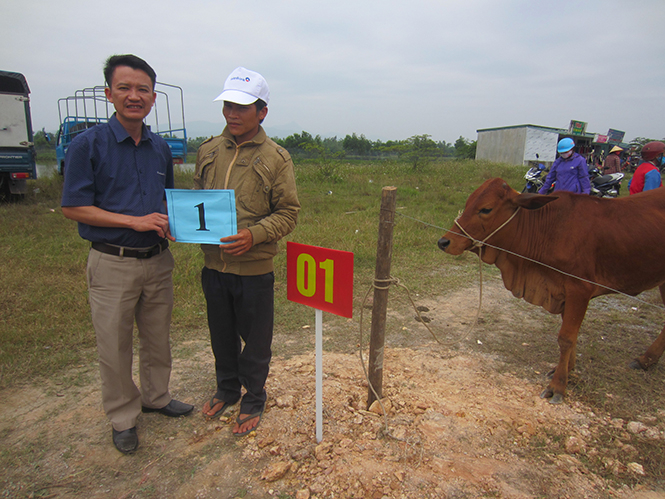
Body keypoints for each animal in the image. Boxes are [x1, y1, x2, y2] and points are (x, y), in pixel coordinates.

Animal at [436, 178, 664, 404]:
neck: (549, 230)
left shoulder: (579, 290)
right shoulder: (564, 292)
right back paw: (645, 360)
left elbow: (566, 338)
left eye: (486, 209)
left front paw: (558, 385)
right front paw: (568, 371)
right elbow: (571, 335)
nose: (444, 241)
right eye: (468, 204)